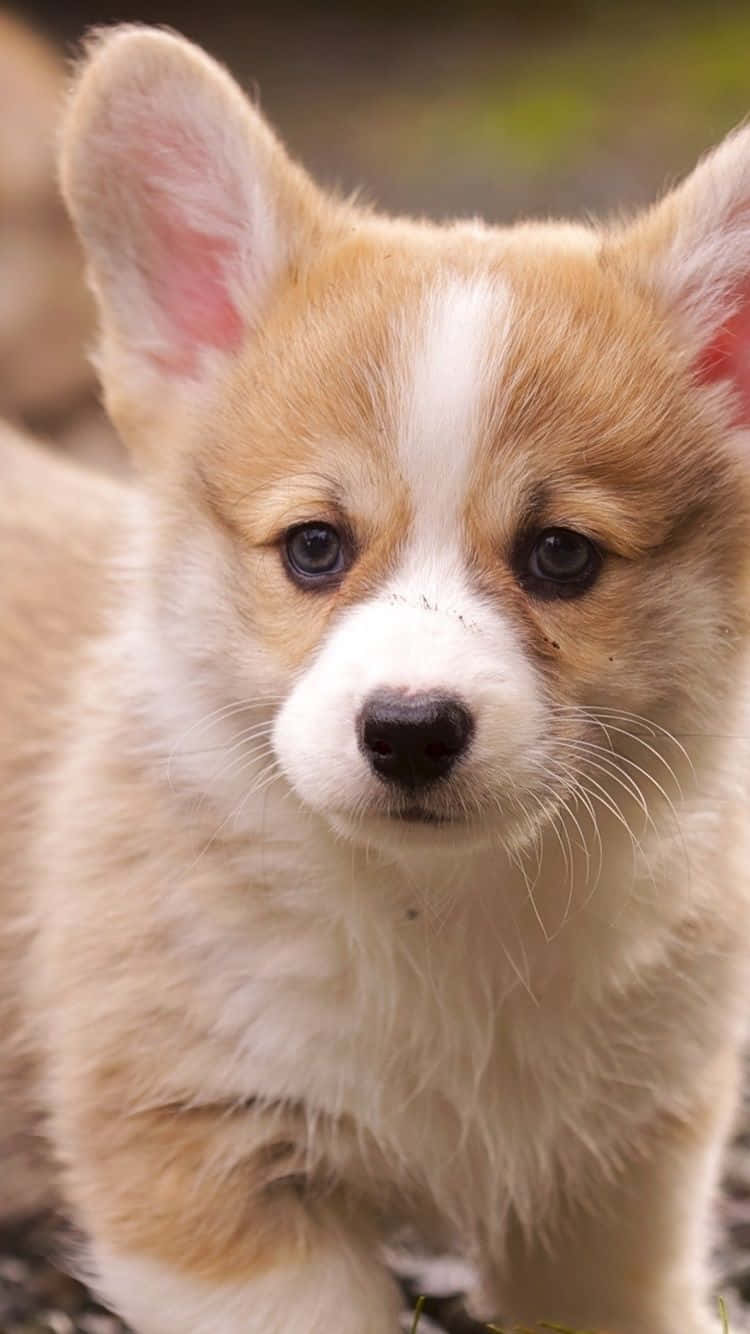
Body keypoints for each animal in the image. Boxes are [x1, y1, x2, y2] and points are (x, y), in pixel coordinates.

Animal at [1, 23, 747, 1334]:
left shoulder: (621, 1180)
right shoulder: (203, 1168)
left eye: (561, 556)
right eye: (315, 547)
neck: (444, 917)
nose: (409, 729)